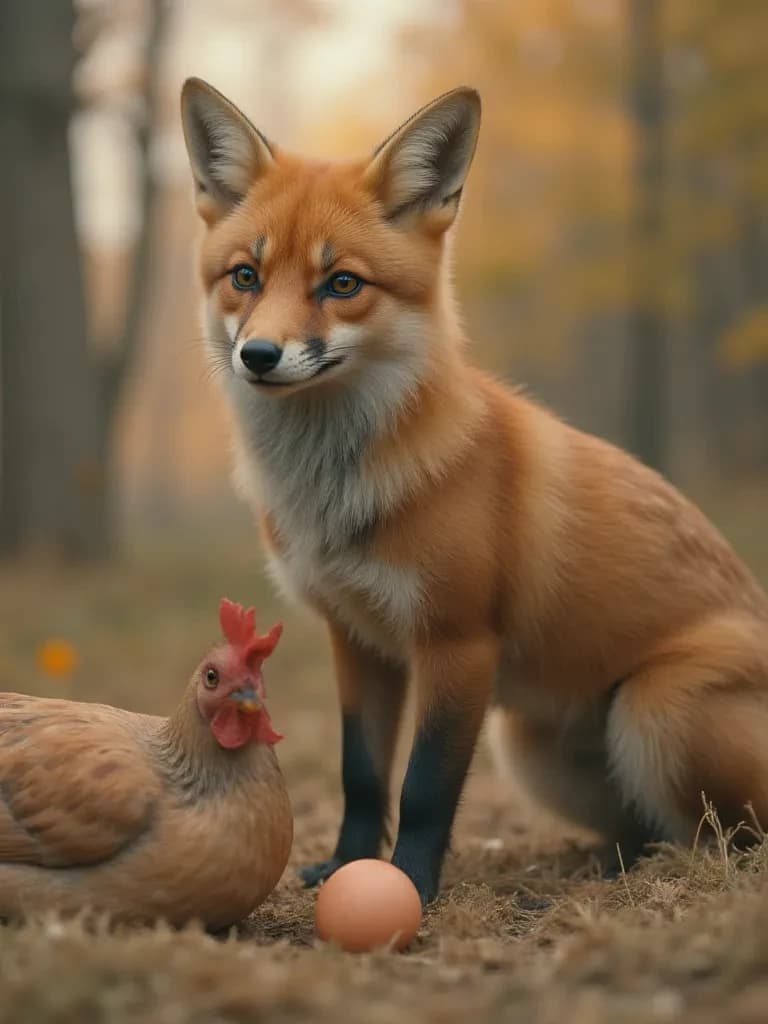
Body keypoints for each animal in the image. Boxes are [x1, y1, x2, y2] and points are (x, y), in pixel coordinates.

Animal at [180, 78, 768, 905]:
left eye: (341, 284)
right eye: (245, 277)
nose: (258, 355)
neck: (336, 492)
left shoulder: (457, 643)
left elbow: (426, 786)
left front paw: (410, 886)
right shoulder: (357, 638)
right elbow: (362, 776)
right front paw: (345, 868)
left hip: (657, 710)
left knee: (727, 834)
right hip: (529, 746)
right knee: (648, 826)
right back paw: (613, 861)